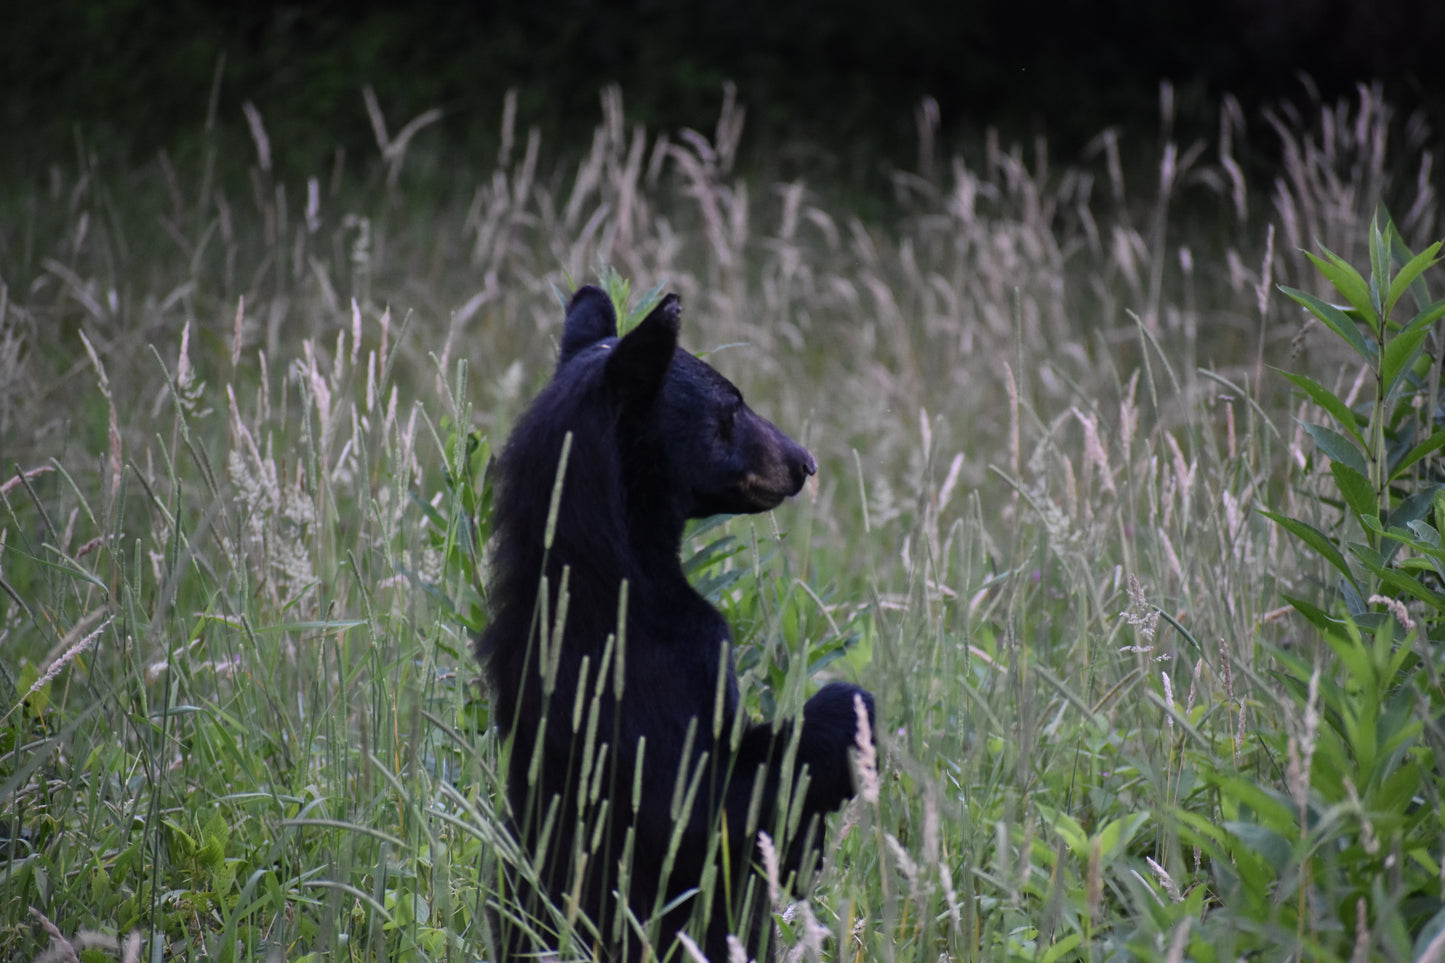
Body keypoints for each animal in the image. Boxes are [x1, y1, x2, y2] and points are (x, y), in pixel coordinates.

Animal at [479, 286, 872, 960]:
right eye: (733, 406)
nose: (806, 463)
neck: (600, 572)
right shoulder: (677, 661)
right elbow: (705, 807)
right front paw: (844, 713)